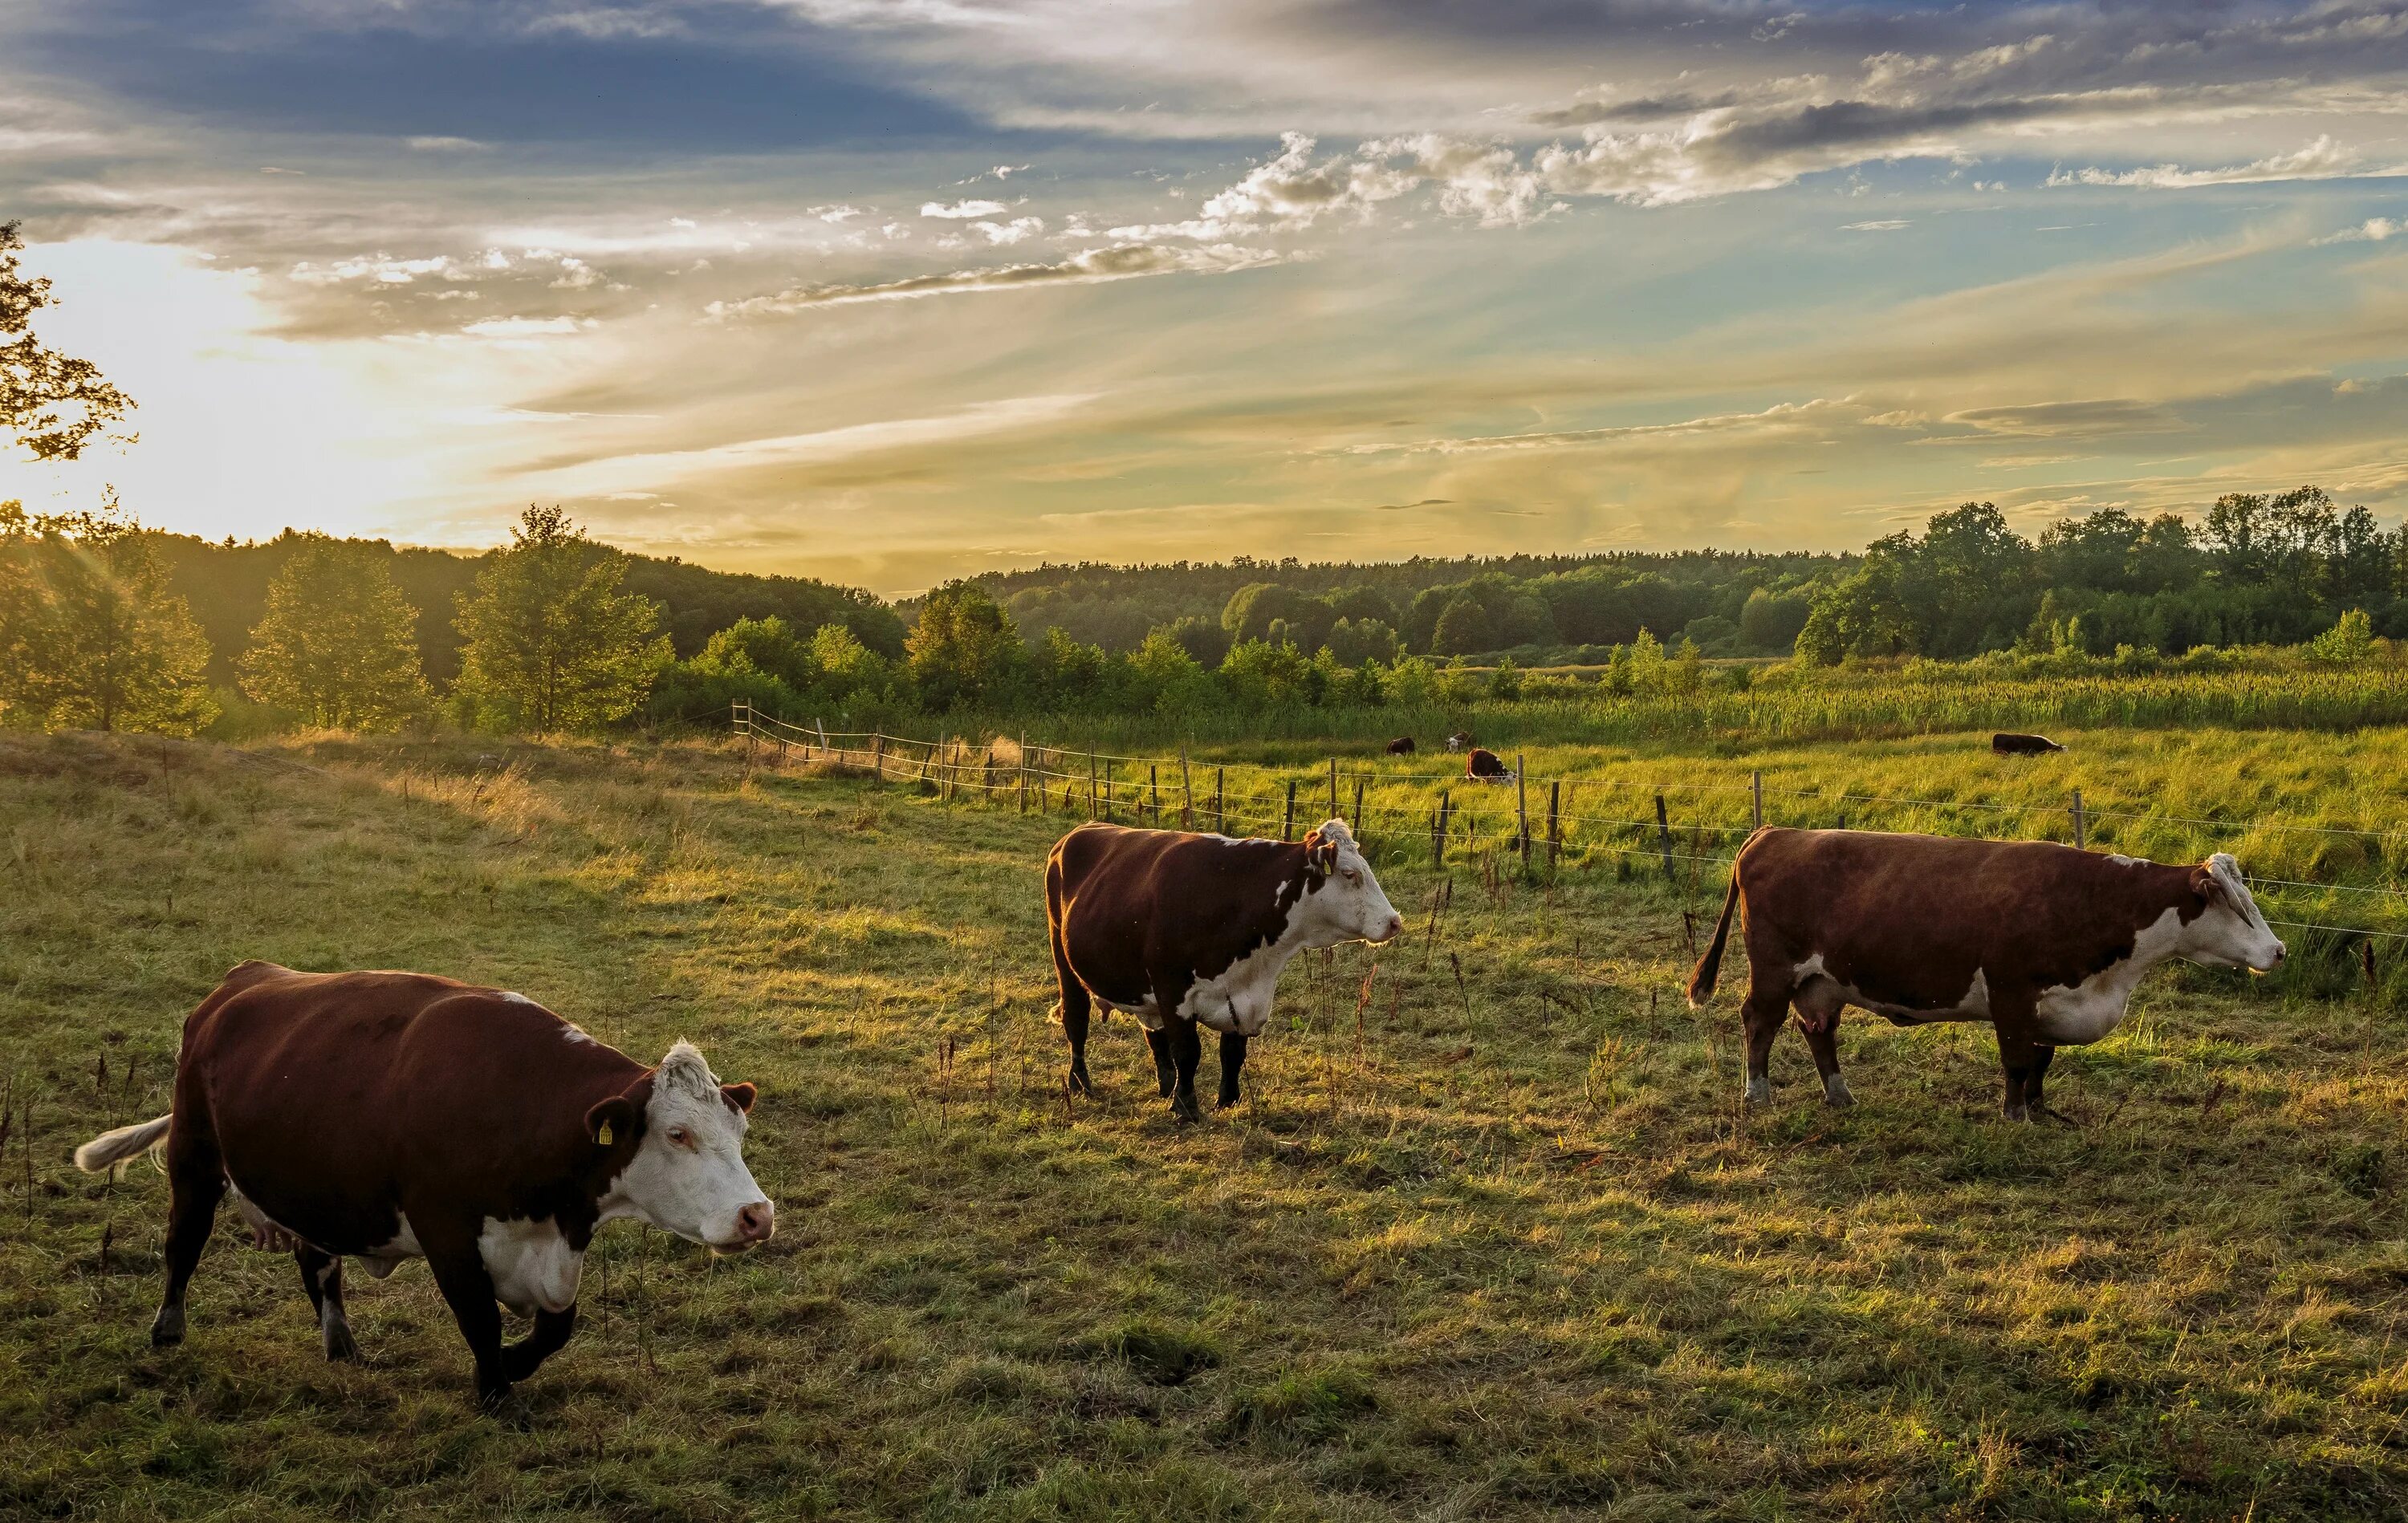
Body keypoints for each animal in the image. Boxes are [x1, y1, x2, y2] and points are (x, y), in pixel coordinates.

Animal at [72, 962, 771, 1405]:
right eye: (677, 1134)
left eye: (738, 1130)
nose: (757, 1215)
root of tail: (241, 981)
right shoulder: (447, 1232)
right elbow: (481, 1319)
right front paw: (496, 1392)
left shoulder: (555, 1246)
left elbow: (556, 1328)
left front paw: (512, 1365)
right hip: (194, 1156)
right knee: (183, 1245)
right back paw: (167, 1331)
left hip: (316, 1190)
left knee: (318, 1266)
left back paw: (342, 1344)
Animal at [1045, 813, 1406, 1121]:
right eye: (1349, 874)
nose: (1394, 922)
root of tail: (1079, 831)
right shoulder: (1171, 988)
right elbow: (1188, 1051)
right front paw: (1186, 1107)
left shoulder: (1244, 996)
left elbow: (1232, 1052)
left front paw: (1227, 1101)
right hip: (1064, 961)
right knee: (1076, 1021)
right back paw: (1080, 1082)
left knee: (1153, 1033)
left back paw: (1165, 1087)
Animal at [1686, 832, 2283, 1116]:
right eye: (2237, 906)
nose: (2278, 950)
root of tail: (1772, 833)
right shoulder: (2011, 993)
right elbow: (2016, 1062)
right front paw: (2015, 1115)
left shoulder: (2052, 1005)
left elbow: (2040, 1061)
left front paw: (2039, 1110)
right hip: (1773, 971)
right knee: (1759, 1024)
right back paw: (1758, 1095)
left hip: (1822, 982)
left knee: (1818, 1031)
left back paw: (1840, 1095)